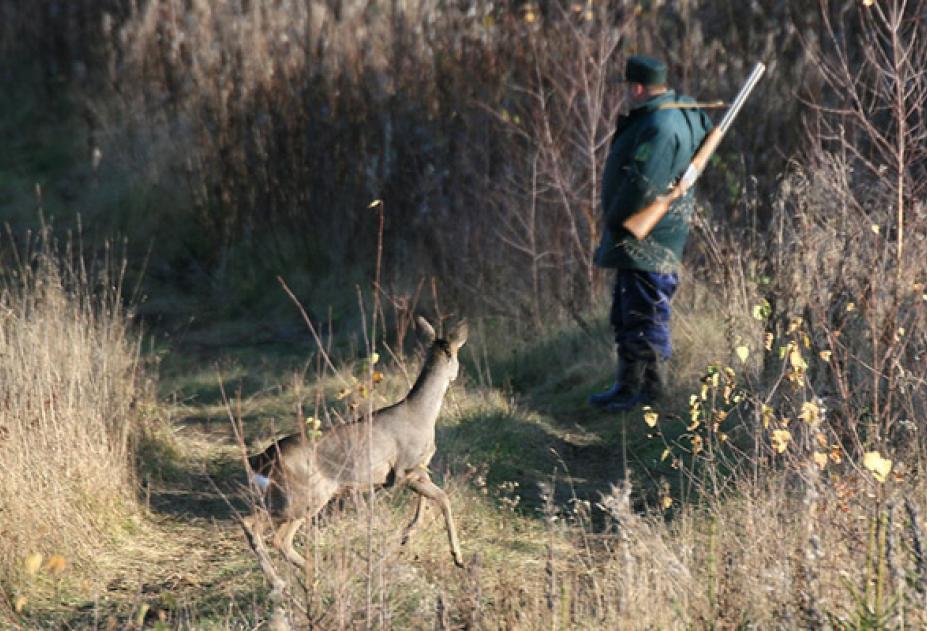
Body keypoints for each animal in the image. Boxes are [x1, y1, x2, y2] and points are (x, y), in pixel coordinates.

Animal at [243, 318, 468, 572]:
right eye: (456, 354)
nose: (456, 374)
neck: (422, 414)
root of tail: (264, 457)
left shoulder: (415, 469)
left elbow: (427, 501)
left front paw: (407, 535)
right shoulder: (404, 469)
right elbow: (443, 497)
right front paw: (457, 556)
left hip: (295, 496)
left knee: (273, 535)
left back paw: (309, 573)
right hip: (304, 494)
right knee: (260, 528)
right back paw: (292, 576)